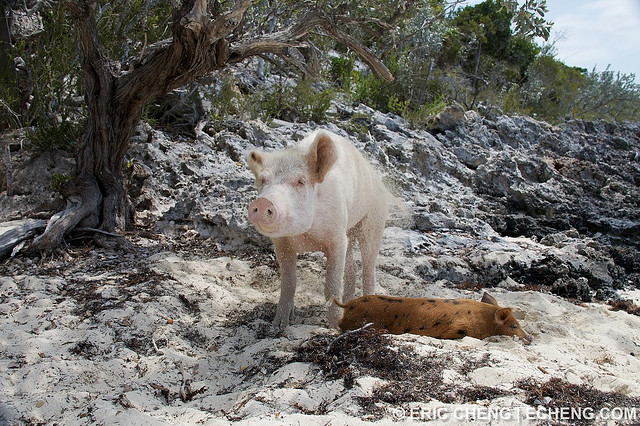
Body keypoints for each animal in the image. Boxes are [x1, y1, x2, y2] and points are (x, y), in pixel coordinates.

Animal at [249, 130, 390, 330]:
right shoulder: (282, 244)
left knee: (369, 267)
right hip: (349, 232)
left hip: (373, 222)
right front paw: (278, 326)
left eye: (300, 181)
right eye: (263, 180)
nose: (263, 201)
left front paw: (335, 328)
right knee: (351, 267)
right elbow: (288, 282)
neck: (305, 236)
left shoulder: (336, 238)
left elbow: (331, 285)